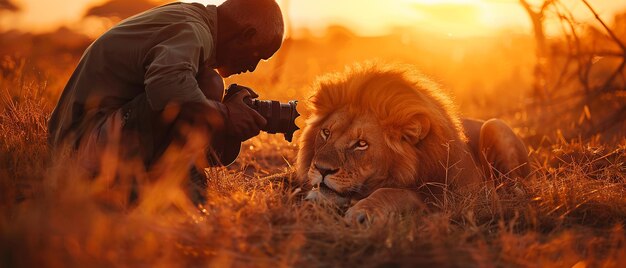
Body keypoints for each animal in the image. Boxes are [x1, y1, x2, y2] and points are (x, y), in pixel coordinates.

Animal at [294, 62, 528, 224]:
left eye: (361, 144)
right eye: (326, 133)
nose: (321, 169)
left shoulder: (448, 197)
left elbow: (393, 192)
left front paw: (363, 211)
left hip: (495, 126)